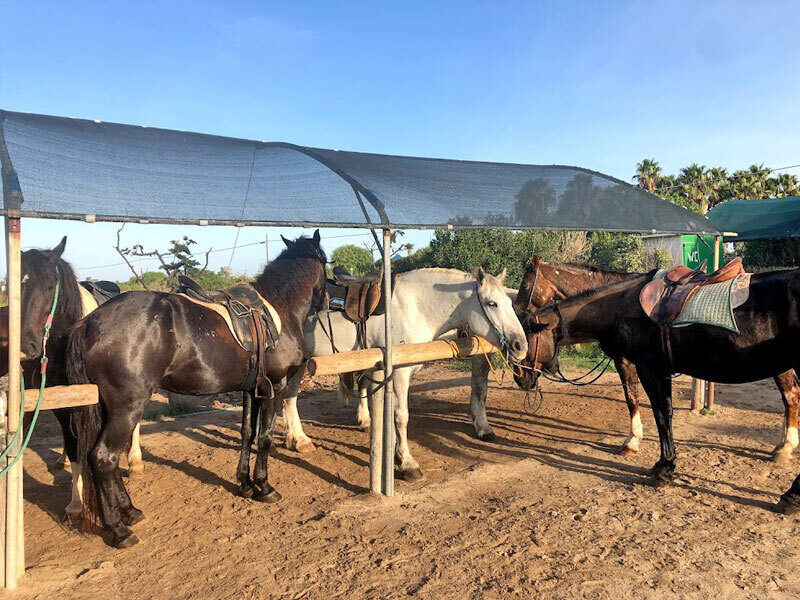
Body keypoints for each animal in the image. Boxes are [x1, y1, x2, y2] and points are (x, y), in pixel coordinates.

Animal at [15, 238, 141, 523]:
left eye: (50, 284)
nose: (25, 349)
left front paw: (79, 503)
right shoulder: (56, 403)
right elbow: (74, 450)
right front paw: (75, 503)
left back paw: (135, 462)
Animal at [65, 232, 328, 548]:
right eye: (326, 261)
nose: (326, 301)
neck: (278, 308)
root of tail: (89, 323)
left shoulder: (251, 389)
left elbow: (247, 434)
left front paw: (244, 484)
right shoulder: (275, 386)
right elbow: (264, 437)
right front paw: (264, 487)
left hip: (107, 408)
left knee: (105, 460)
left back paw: (130, 511)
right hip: (126, 408)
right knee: (104, 458)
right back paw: (118, 530)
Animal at [279, 267, 528, 480]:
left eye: (510, 302)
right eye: (492, 303)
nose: (520, 346)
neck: (413, 309)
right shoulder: (399, 374)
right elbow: (401, 417)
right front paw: (408, 463)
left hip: (301, 363)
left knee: (289, 398)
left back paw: (297, 440)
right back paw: (300, 439)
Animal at [519, 265, 800, 513]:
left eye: (526, 285)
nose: (520, 378)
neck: (620, 305)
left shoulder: (648, 367)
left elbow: (659, 413)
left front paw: (663, 466)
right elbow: (647, 406)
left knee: (791, 395)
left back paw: (790, 491)